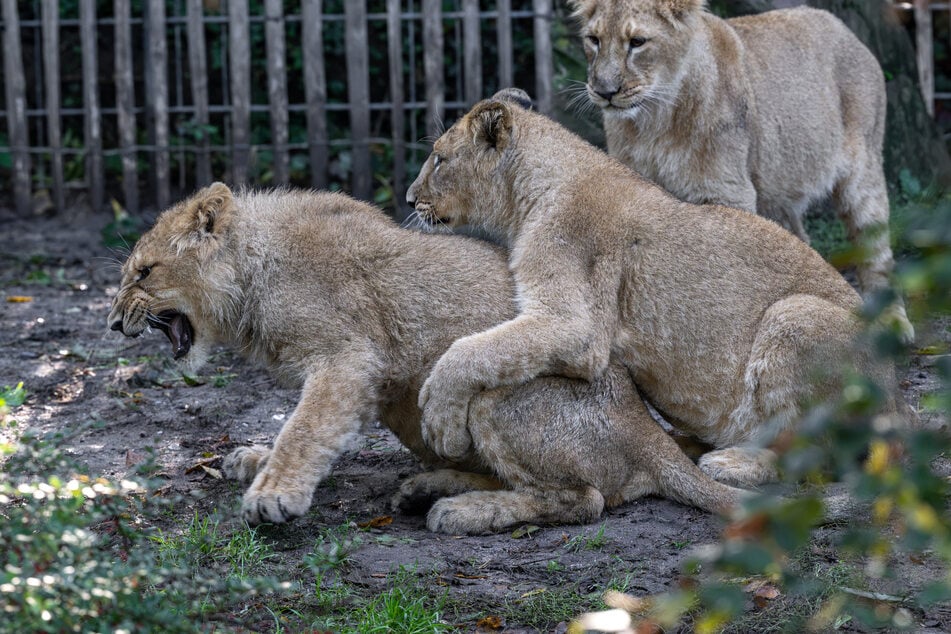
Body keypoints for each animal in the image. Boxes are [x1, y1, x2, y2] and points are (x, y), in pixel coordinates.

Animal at [107, 183, 745, 534]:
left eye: (145, 273)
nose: (114, 323)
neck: (251, 273)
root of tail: (648, 431)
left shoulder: (347, 358)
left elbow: (306, 427)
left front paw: (273, 494)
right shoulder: (370, 382)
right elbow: (311, 428)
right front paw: (255, 461)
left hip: (493, 394)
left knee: (583, 500)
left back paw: (463, 512)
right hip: (407, 404)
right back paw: (430, 487)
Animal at [405, 89, 914, 487]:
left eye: (439, 158)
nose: (410, 198)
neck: (528, 194)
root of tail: (895, 398)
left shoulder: (576, 326)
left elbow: (472, 350)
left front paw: (439, 418)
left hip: (794, 315)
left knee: (820, 456)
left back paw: (732, 463)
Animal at [569, 0, 913, 342]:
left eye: (637, 42)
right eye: (594, 40)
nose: (604, 91)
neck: (654, 120)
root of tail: (844, 29)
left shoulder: (727, 193)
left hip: (863, 172)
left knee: (876, 251)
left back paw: (892, 322)